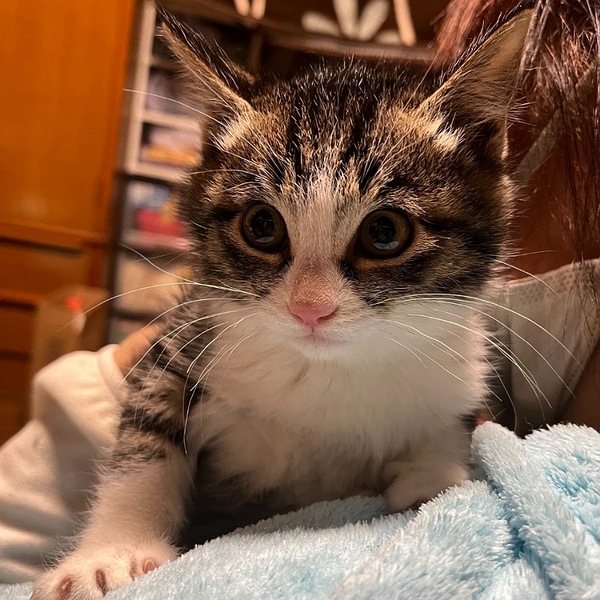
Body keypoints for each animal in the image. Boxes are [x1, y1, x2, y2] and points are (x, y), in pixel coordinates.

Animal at [32, 10, 530, 600]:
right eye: (262, 225)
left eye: (385, 232)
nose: (309, 309)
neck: (325, 373)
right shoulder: (182, 337)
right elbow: (144, 441)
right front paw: (111, 553)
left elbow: (449, 423)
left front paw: (435, 475)